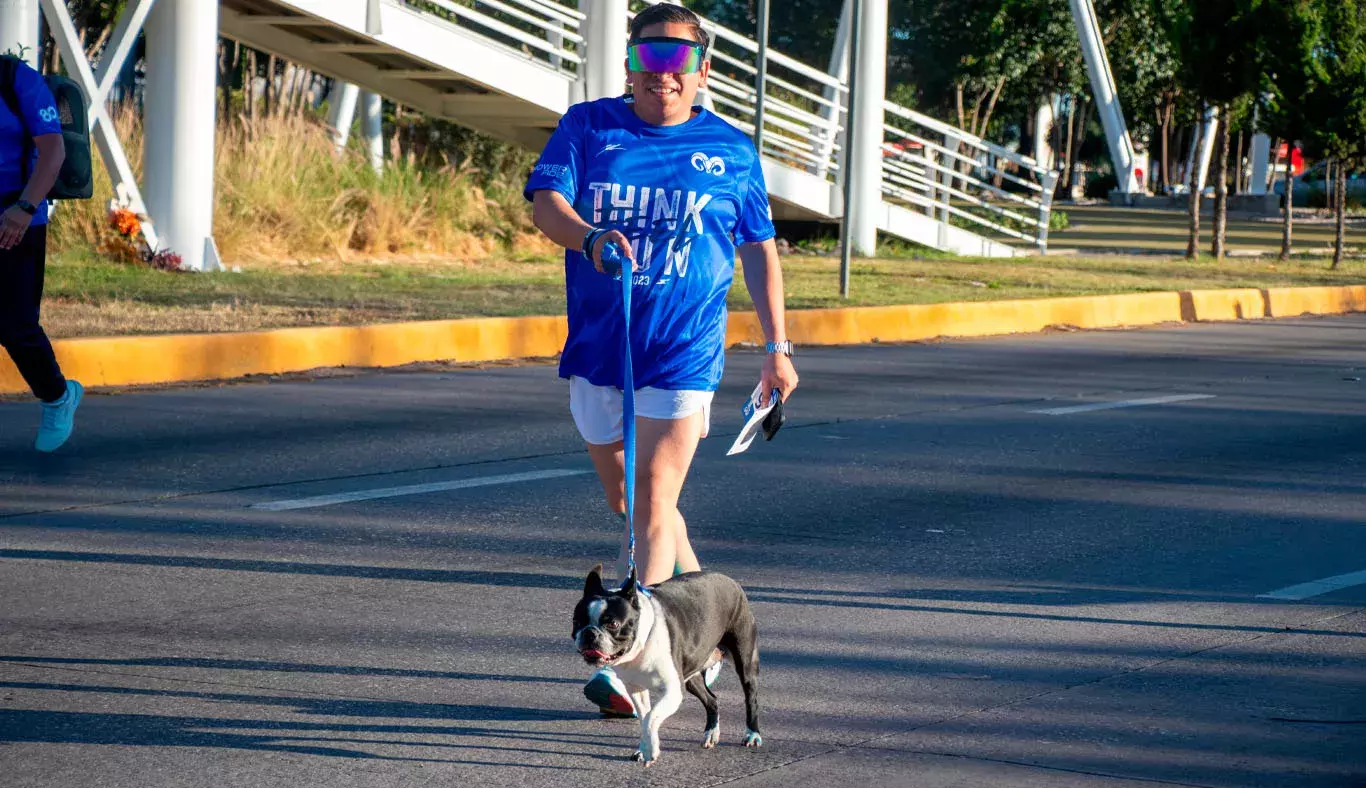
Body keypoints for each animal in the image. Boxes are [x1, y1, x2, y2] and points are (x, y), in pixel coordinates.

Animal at [568, 562, 759, 764]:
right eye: (576, 621)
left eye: (613, 624)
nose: (589, 632)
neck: (642, 643)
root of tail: (731, 581)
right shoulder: (636, 689)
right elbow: (645, 719)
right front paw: (645, 749)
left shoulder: (673, 691)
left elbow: (652, 717)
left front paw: (650, 751)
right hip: (690, 676)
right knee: (711, 699)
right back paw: (711, 733)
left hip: (744, 660)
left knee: (751, 696)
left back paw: (752, 734)